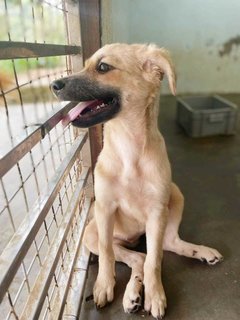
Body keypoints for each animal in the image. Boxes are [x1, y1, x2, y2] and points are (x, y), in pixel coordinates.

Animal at [51, 43, 223, 318]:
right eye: (86, 64)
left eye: (103, 67)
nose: (53, 85)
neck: (129, 150)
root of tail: (132, 238)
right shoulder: (105, 208)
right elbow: (108, 253)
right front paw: (104, 285)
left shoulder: (157, 211)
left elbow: (155, 260)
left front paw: (155, 295)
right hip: (92, 232)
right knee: (132, 257)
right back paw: (131, 295)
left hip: (175, 194)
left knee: (162, 247)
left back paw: (198, 253)